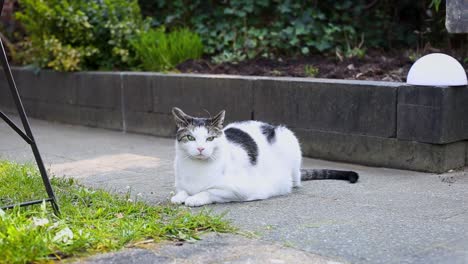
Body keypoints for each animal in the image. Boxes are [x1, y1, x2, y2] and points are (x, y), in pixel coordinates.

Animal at [172, 107, 358, 206]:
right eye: (190, 138)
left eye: (210, 138)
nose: (201, 148)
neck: (196, 170)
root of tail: (269, 125)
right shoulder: (180, 183)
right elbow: (182, 190)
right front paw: (180, 197)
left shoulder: (239, 190)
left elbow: (210, 192)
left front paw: (194, 198)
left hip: (289, 140)